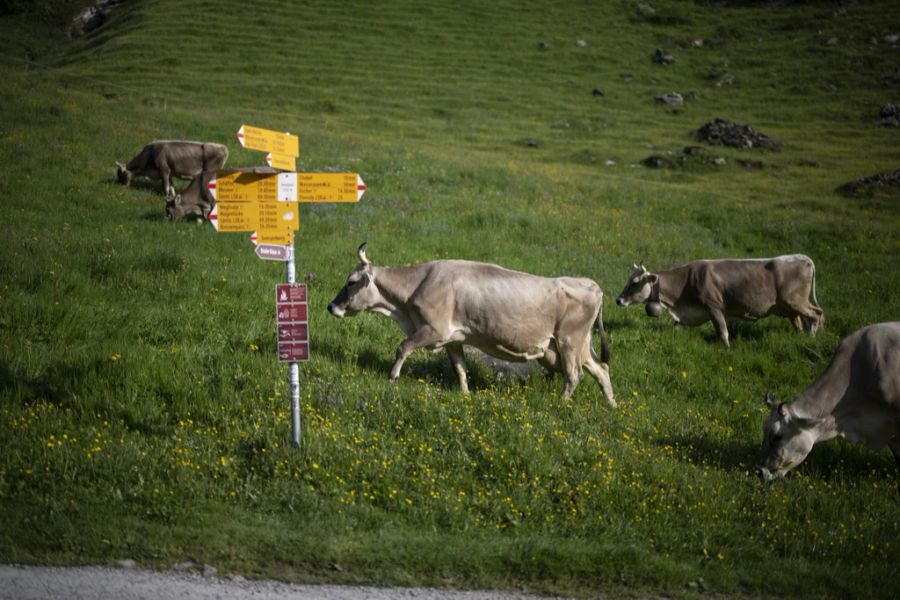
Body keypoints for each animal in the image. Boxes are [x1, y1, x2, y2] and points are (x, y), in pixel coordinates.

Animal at [326, 241, 616, 406]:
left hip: (568, 342)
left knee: (574, 375)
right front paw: (465, 394)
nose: (331, 306)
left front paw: (392, 377)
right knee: (601, 370)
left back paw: (561, 404)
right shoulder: (453, 338)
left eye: (351, 282)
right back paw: (612, 405)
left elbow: (403, 347)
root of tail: (591, 284)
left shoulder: (433, 329)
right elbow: (460, 368)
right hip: (578, 346)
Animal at [620, 253, 824, 346]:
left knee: (816, 314)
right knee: (802, 322)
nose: (618, 300)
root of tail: (803, 257)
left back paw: (813, 338)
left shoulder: (715, 307)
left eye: (634, 282)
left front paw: (727, 350)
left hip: (796, 301)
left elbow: (723, 332)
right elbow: (677, 328)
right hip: (788, 309)